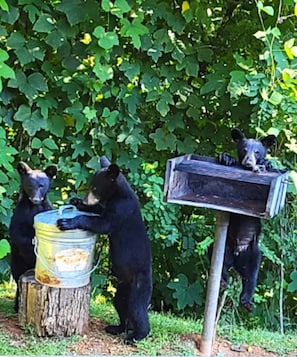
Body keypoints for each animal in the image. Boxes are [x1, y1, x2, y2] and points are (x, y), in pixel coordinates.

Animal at [8, 160, 56, 310]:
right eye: (30, 185)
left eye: (41, 185)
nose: (36, 199)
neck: (34, 207)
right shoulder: (20, 215)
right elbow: (17, 234)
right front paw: (33, 252)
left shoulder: (46, 210)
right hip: (16, 260)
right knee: (17, 275)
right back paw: (17, 304)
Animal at [56, 156, 151, 344]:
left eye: (94, 187)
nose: (86, 199)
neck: (119, 194)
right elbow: (99, 211)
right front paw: (76, 202)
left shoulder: (121, 209)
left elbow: (103, 223)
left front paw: (67, 222)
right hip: (123, 288)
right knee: (121, 305)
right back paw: (117, 328)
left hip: (140, 284)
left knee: (137, 309)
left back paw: (135, 336)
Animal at [215, 128, 276, 308]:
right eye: (244, 149)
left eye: (257, 152)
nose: (249, 163)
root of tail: (237, 256)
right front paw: (226, 158)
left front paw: (268, 164)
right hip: (225, 249)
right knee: (220, 264)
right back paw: (223, 282)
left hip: (253, 253)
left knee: (252, 275)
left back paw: (246, 301)